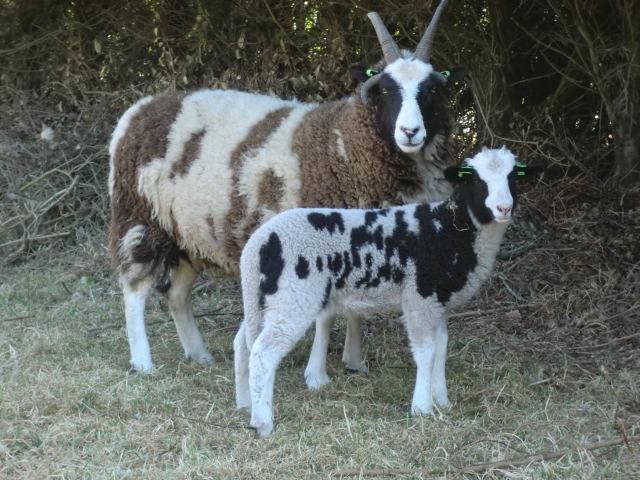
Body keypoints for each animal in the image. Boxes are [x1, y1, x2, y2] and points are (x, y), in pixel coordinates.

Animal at [110, 0, 468, 374]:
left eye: (432, 90)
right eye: (385, 89)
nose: (411, 132)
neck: (343, 146)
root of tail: (140, 109)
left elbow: (354, 309)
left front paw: (353, 361)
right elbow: (327, 315)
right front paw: (317, 371)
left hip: (187, 231)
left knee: (176, 294)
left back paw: (199, 354)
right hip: (138, 215)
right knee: (134, 287)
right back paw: (143, 361)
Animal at [232, 145, 544, 436]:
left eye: (513, 177)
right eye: (477, 180)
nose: (504, 208)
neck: (451, 229)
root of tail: (258, 244)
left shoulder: (438, 301)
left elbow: (442, 347)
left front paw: (441, 399)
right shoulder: (420, 298)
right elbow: (426, 351)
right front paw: (422, 408)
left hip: (264, 298)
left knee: (244, 343)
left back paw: (245, 404)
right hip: (293, 297)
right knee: (264, 353)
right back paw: (263, 422)